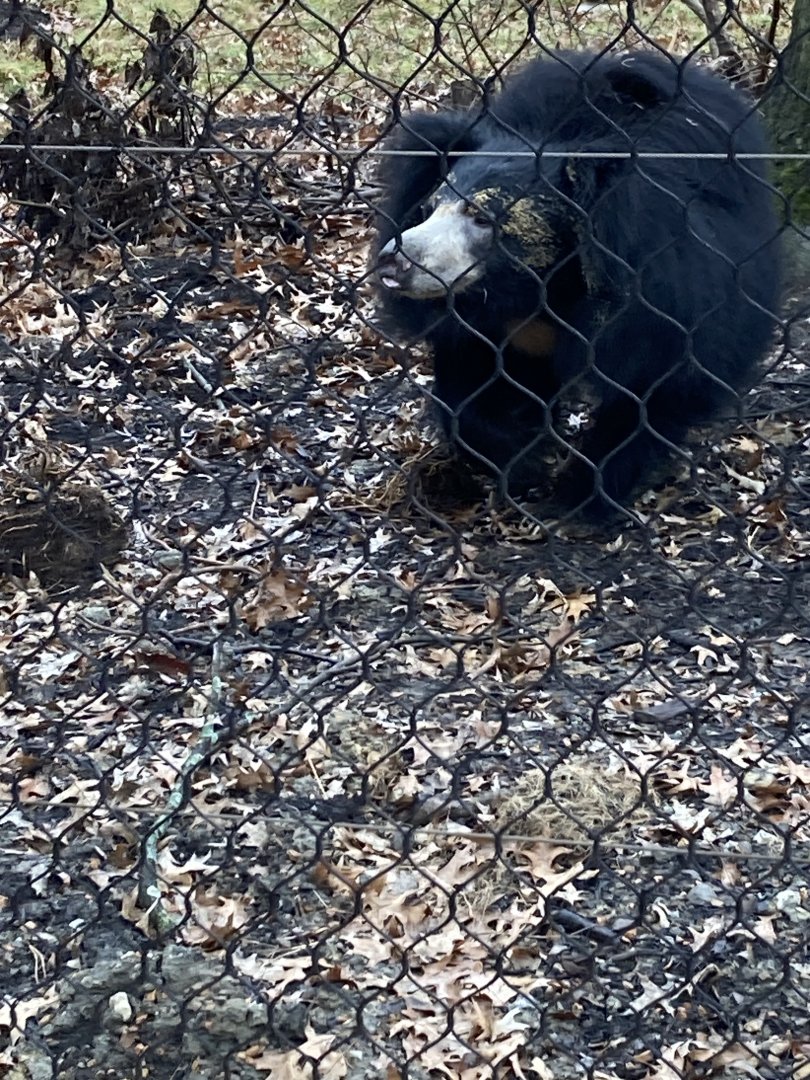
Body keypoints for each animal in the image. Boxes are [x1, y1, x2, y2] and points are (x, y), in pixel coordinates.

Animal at [373, 49, 781, 518]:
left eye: (482, 217)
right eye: (429, 208)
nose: (391, 260)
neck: (540, 289)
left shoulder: (668, 295)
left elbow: (651, 387)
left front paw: (580, 498)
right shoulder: (489, 324)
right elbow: (465, 379)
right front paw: (526, 455)